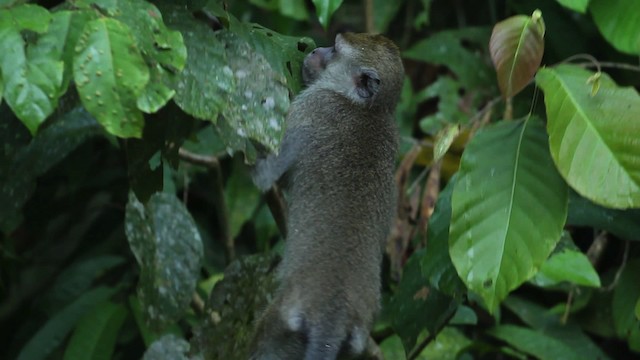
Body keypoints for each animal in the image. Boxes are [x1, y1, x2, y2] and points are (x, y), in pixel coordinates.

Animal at [251, 32, 404, 358]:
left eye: (334, 49)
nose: (314, 51)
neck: (368, 110)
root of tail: (332, 318)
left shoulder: (312, 104)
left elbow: (267, 175)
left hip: (283, 320)